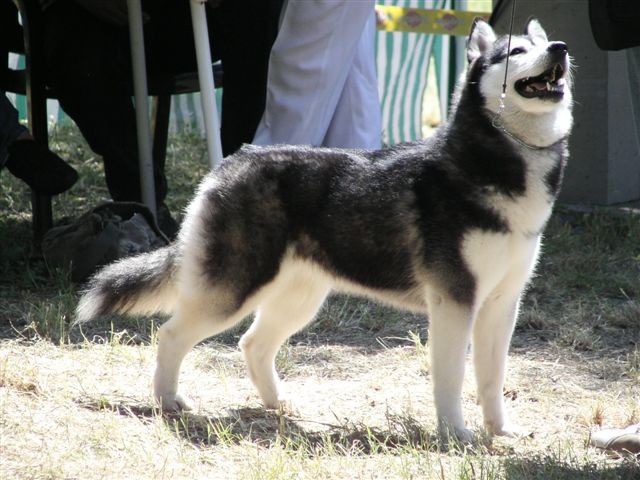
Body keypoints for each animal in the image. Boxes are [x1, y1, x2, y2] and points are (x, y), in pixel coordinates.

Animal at [76, 18, 576, 440]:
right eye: (515, 51)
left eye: (541, 43)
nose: (560, 47)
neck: (499, 161)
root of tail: (232, 162)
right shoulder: (454, 302)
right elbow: (452, 380)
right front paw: (456, 435)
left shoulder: (501, 305)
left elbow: (492, 379)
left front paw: (500, 431)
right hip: (233, 291)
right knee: (171, 335)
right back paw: (168, 401)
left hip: (299, 299)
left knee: (253, 343)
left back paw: (277, 405)